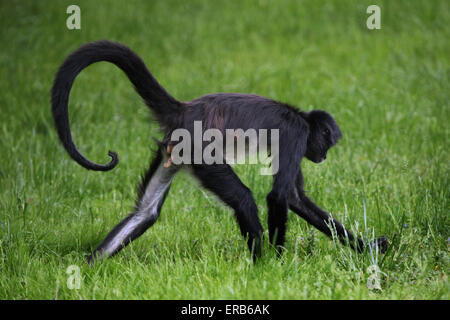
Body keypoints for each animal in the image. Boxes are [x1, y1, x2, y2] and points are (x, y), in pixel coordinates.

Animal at [50, 40, 386, 264]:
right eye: (328, 144)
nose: (324, 157)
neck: (301, 117)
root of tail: (185, 109)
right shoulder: (296, 135)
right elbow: (279, 196)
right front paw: (280, 266)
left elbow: (295, 198)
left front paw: (369, 247)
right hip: (200, 150)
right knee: (243, 198)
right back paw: (260, 265)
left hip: (176, 150)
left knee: (145, 212)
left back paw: (89, 268)